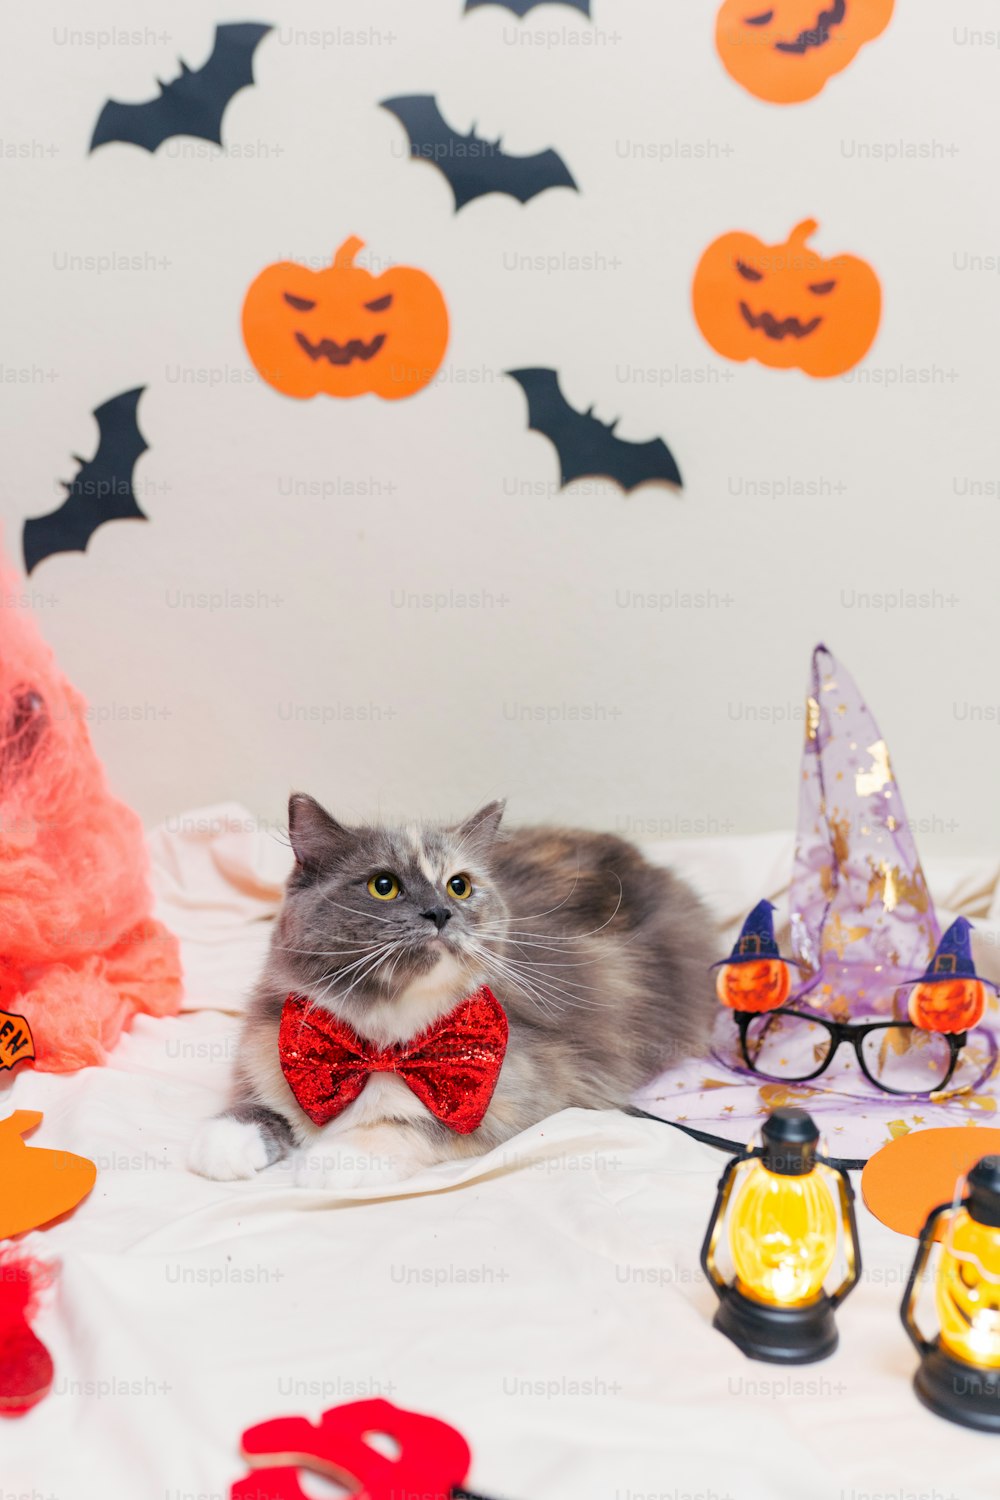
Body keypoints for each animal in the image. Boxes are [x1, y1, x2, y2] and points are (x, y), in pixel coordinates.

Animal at [187, 792, 716, 1188]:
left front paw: (333, 1160)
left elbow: (409, 1125)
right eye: (383, 885)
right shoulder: (269, 1050)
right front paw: (225, 1146)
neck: (385, 1041)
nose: (441, 912)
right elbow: (257, 1106)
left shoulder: (531, 1095)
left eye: (459, 886)